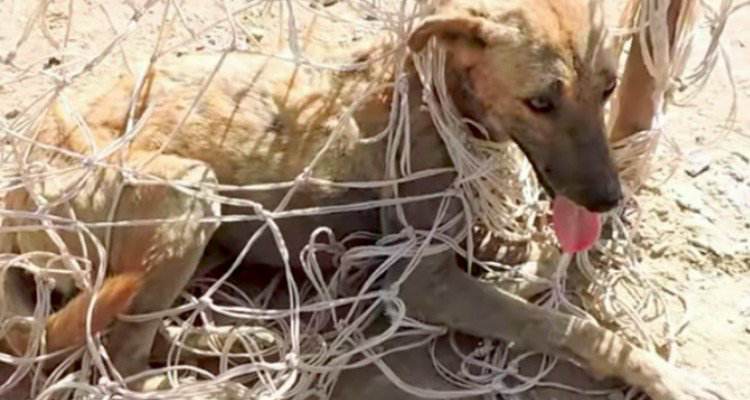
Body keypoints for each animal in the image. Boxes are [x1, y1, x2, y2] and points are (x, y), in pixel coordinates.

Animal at [0, 0, 728, 400]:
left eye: (607, 89)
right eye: (540, 102)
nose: (608, 199)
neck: (439, 97)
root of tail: (16, 195)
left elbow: (533, 280)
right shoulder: (422, 282)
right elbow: (564, 324)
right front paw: (664, 375)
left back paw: (238, 341)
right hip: (189, 193)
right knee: (118, 361)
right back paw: (230, 371)